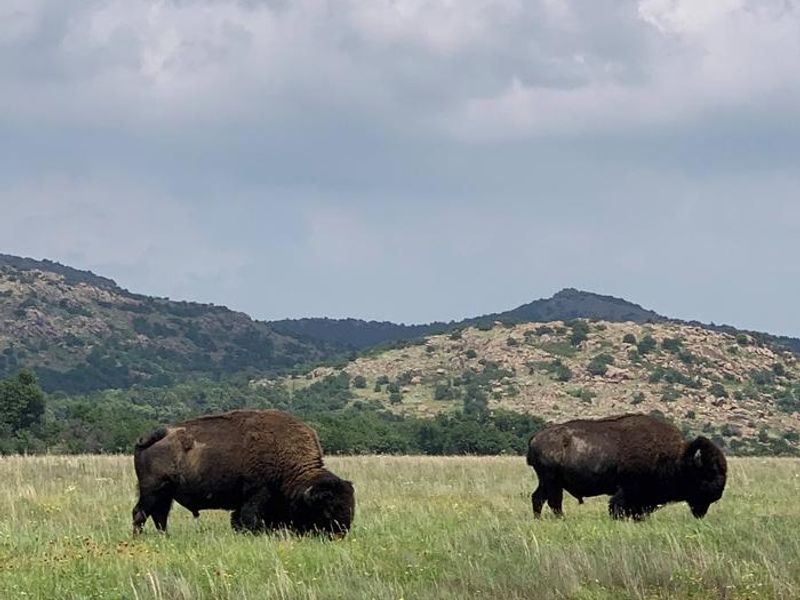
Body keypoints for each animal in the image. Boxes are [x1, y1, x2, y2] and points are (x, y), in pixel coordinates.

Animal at [132, 409, 355, 537]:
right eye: (326, 510)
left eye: (350, 506)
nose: (339, 534)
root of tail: (154, 436)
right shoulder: (256, 495)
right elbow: (249, 519)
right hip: (152, 490)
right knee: (140, 513)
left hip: (165, 493)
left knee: (160, 516)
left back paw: (165, 537)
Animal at [527, 413, 727, 520]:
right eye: (708, 473)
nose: (718, 493)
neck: (676, 457)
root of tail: (536, 437)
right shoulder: (628, 490)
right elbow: (618, 506)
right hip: (551, 481)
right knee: (552, 501)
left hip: (548, 482)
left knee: (538, 498)